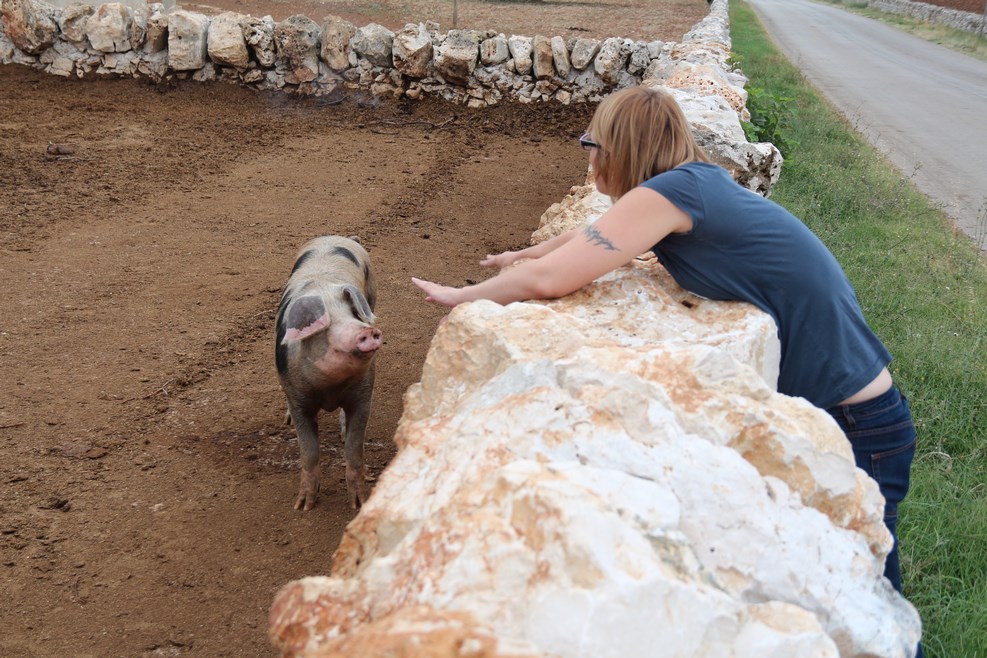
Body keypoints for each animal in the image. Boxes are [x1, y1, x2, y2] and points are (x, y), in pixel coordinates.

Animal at [275, 236, 382, 511]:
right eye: (326, 326)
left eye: (354, 315)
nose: (367, 330)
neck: (330, 389)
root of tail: (337, 237)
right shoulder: (297, 398)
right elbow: (309, 452)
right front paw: (303, 506)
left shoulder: (363, 395)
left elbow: (354, 450)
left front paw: (359, 504)